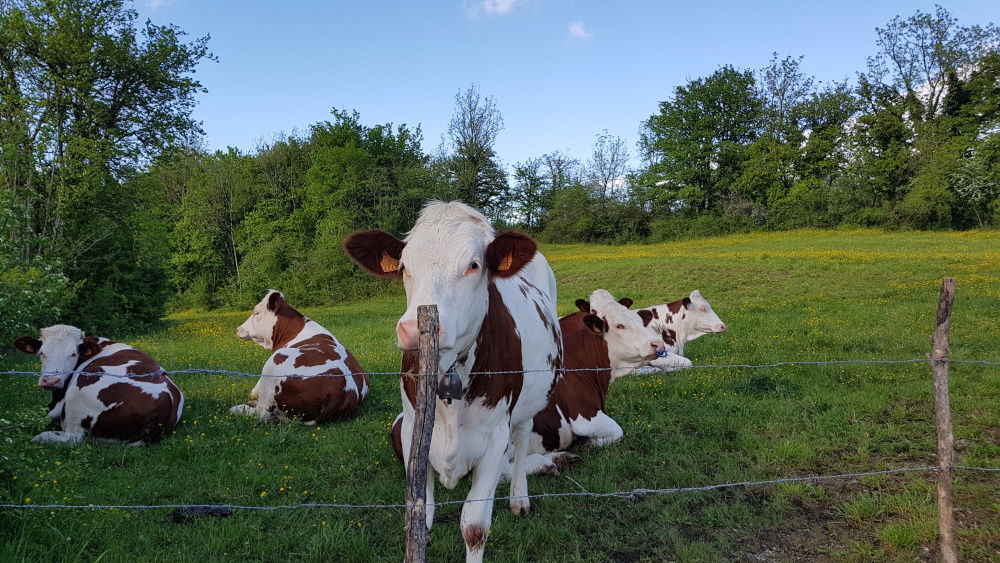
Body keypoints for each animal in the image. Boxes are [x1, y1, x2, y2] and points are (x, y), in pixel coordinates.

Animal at [12, 324, 184, 448]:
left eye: (73, 354)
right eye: (42, 352)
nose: (51, 381)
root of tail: (165, 403)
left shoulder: (56, 405)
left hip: (79, 390)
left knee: (71, 439)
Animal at [230, 290, 372, 424]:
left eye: (256, 312)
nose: (237, 329)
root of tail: (341, 383)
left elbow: (255, 391)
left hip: (273, 363)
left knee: (262, 413)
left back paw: (238, 408)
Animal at [344, 200, 564, 560]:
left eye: (474, 265)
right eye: (404, 267)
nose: (411, 330)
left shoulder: (494, 439)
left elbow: (474, 527)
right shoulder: (413, 432)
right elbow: (420, 518)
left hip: (528, 404)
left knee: (521, 437)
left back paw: (519, 497)